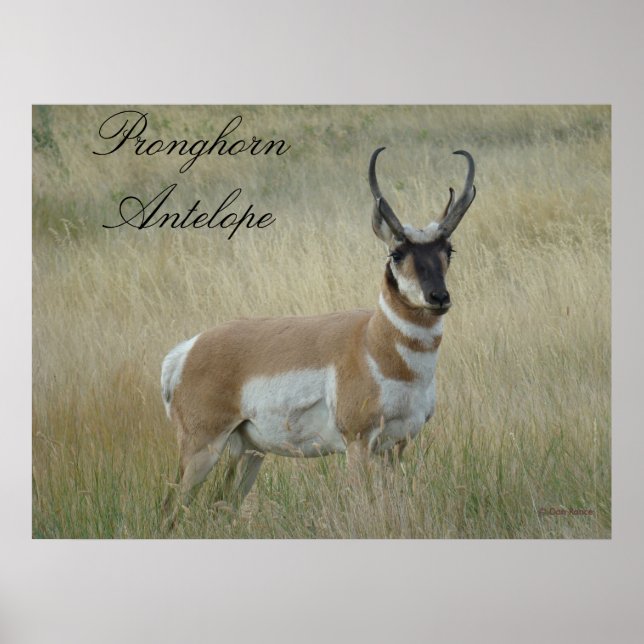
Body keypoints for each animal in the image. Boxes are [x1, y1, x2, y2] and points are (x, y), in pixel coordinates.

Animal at [161, 147, 476, 523]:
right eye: (397, 253)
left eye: (449, 250)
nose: (438, 297)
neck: (372, 342)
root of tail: (187, 349)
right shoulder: (358, 443)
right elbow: (365, 502)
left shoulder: (396, 445)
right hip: (201, 448)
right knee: (169, 509)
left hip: (249, 452)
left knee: (220, 506)